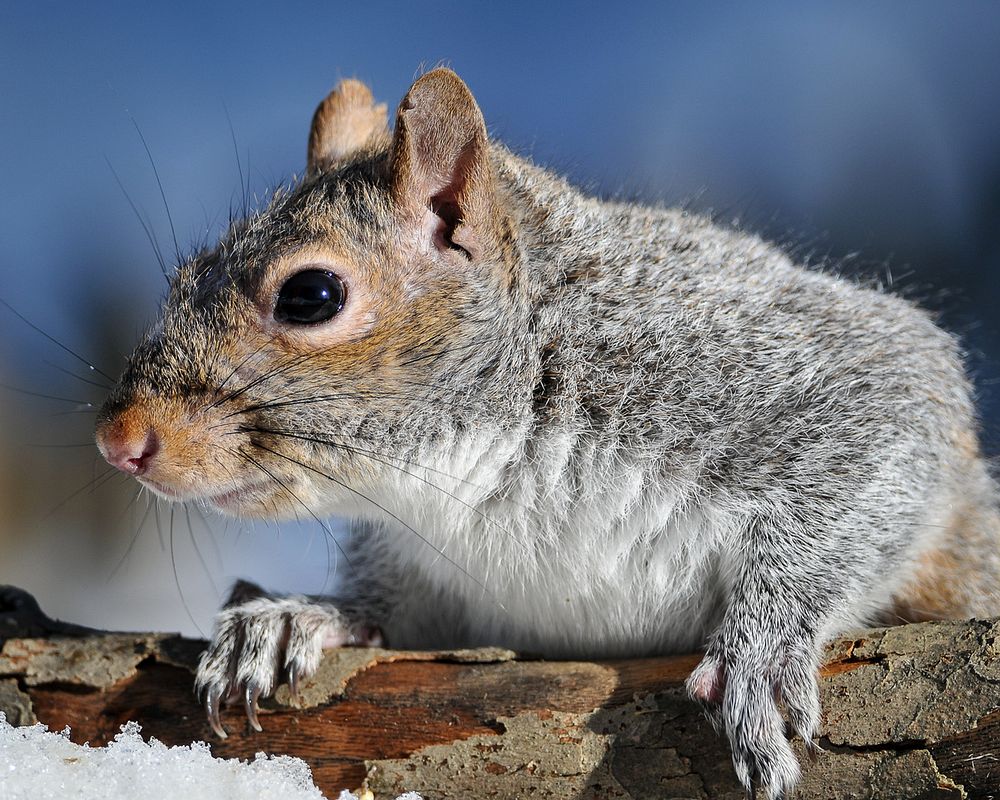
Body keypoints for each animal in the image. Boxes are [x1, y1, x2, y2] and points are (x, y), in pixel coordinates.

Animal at [94, 70, 1000, 800]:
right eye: (182, 276)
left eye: (310, 295)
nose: (119, 441)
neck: (464, 478)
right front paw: (300, 617)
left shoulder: (789, 372)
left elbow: (881, 441)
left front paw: (765, 650)